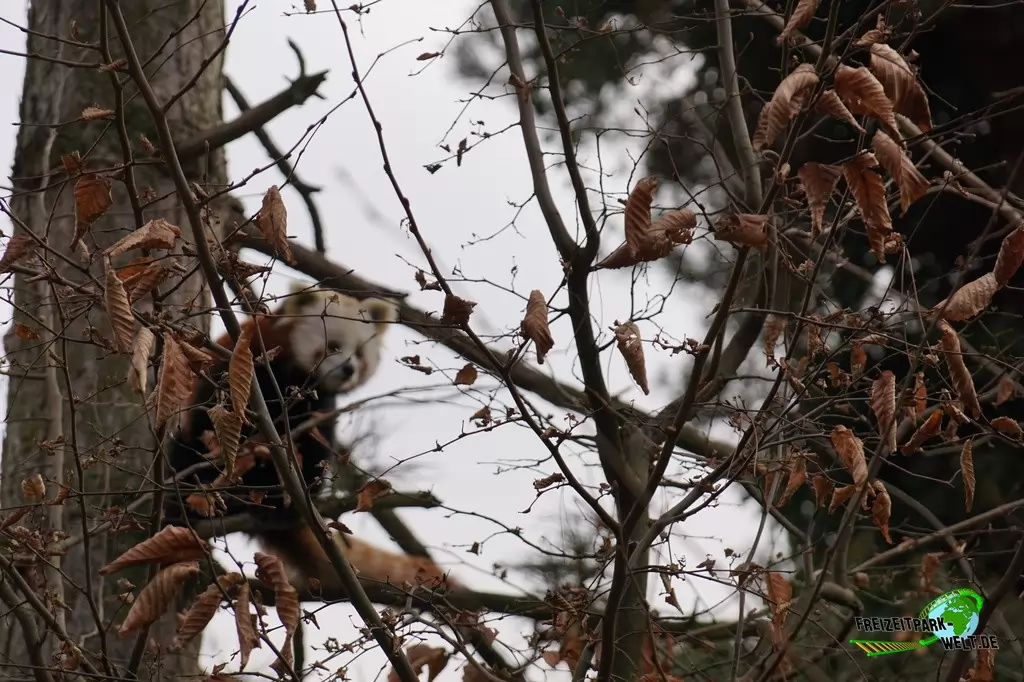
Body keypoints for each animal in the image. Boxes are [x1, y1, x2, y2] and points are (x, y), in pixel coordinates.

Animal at [165, 284, 454, 595]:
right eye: (334, 346)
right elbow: (212, 425)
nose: (349, 369)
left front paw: (290, 500)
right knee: (183, 450)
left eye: (359, 354)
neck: (290, 376)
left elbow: (315, 447)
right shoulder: (237, 365)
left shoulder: (319, 407)